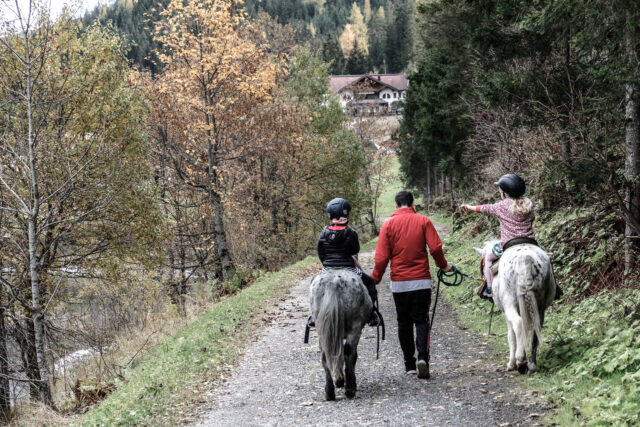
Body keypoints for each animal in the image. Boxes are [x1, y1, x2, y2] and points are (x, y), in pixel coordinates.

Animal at [308, 270, 372, 402]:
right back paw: (350, 389)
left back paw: (330, 392)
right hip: (355, 328)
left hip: (322, 331)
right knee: (349, 352)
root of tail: (333, 282)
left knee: (325, 356)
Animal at [476, 241, 556, 374]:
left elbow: (511, 336)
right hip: (539, 306)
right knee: (536, 328)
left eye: (483, 264)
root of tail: (524, 258)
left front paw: (511, 364)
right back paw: (532, 365)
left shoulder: (505, 312)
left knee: (518, 323)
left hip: (510, 303)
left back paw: (521, 361)